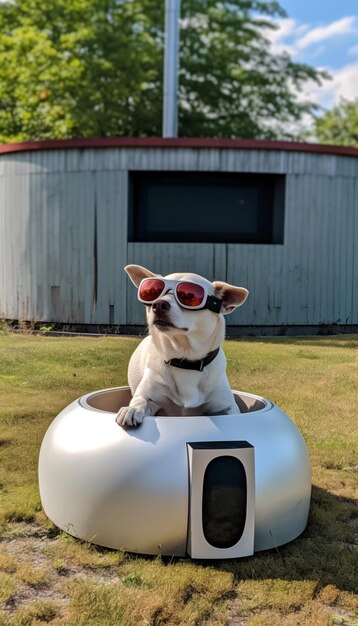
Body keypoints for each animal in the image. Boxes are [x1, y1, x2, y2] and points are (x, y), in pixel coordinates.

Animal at [117, 264, 249, 424]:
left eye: (189, 296)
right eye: (153, 292)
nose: (158, 304)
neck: (185, 359)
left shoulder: (227, 406)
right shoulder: (148, 396)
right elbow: (141, 400)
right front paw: (131, 409)